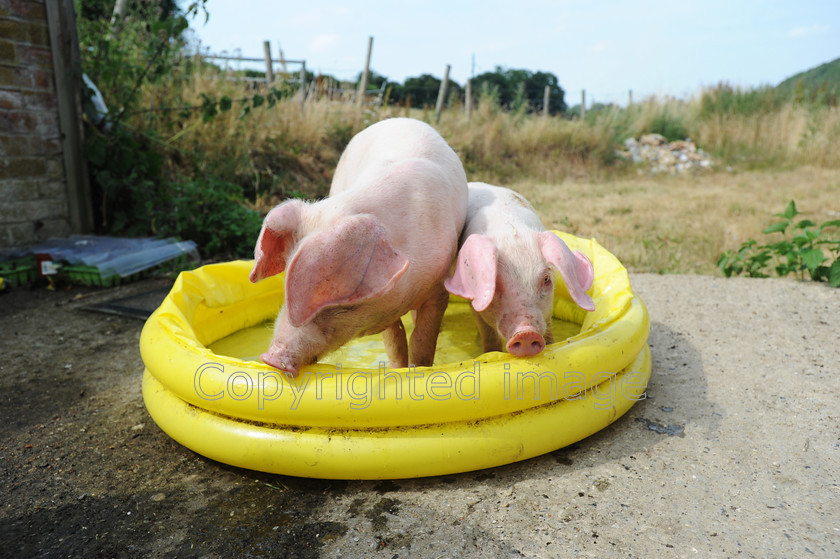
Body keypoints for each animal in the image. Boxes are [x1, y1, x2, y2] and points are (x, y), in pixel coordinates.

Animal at [249, 116, 472, 374]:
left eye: (338, 305)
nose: (270, 358)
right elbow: (395, 341)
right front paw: (398, 369)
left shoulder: (438, 287)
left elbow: (422, 341)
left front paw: (418, 370)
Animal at [442, 184, 592, 358]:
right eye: (495, 283)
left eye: (546, 279)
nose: (526, 333)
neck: (510, 229)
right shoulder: (475, 307)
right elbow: (489, 337)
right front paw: (489, 354)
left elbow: (549, 333)